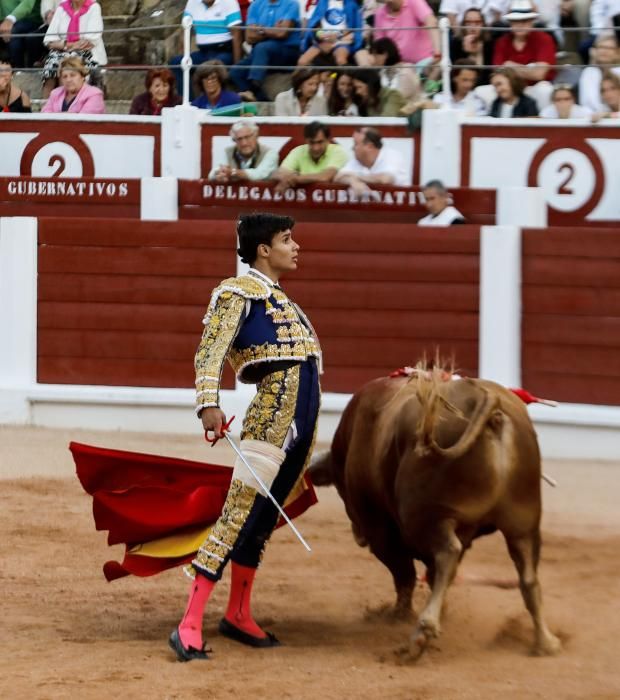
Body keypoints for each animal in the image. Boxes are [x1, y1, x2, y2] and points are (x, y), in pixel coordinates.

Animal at [310, 370, 560, 660]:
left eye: (340, 488)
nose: (357, 535)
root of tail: (491, 403)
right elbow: (434, 574)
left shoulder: (381, 533)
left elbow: (404, 573)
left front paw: (399, 615)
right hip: (524, 521)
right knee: (528, 576)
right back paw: (546, 642)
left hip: (426, 518)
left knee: (447, 552)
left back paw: (421, 633)